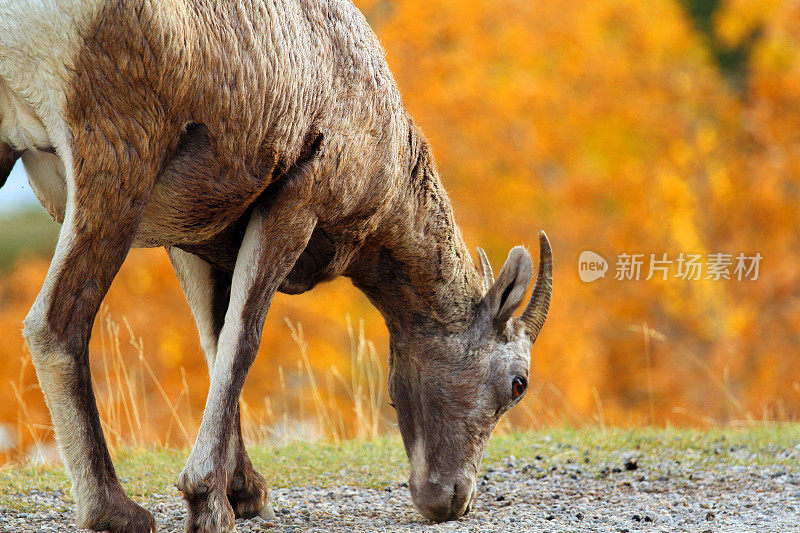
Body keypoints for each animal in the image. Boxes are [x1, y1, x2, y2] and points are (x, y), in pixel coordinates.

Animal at [0, 2, 552, 528]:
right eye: (517, 384)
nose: (454, 501)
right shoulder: (294, 204)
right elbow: (243, 343)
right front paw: (208, 504)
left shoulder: (190, 237)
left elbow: (216, 342)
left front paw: (243, 493)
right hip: (116, 161)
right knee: (55, 324)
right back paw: (116, 512)